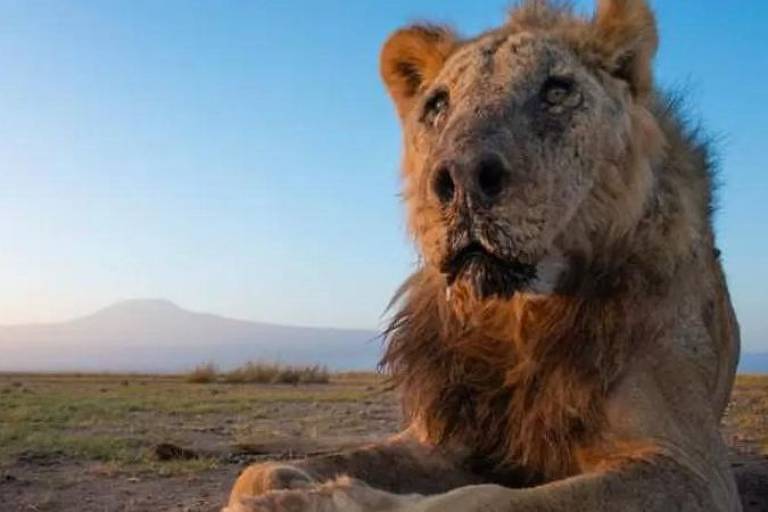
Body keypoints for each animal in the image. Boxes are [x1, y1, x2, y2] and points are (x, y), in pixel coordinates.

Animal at [225, 2, 740, 510]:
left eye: (557, 91)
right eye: (437, 105)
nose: (463, 178)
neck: (515, 317)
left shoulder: (690, 467)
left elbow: (481, 499)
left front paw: (326, 499)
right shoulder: (444, 438)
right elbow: (261, 472)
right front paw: (280, 487)